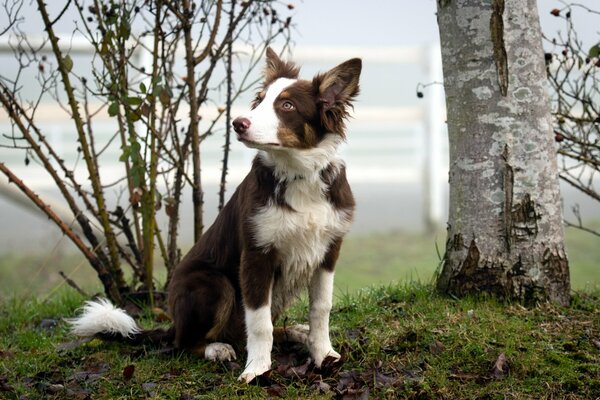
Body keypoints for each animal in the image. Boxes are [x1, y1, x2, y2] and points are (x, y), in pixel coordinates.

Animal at [69, 48, 360, 382]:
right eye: (259, 100)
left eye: (287, 105)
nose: (238, 123)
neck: (298, 175)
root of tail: (173, 323)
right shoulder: (256, 255)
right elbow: (259, 322)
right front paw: (257, 370)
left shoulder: (327, 250)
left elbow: (320, 308)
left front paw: (323, 353)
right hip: (214, 283)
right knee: (185, 343)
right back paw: (216, 348)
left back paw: (296, 333)